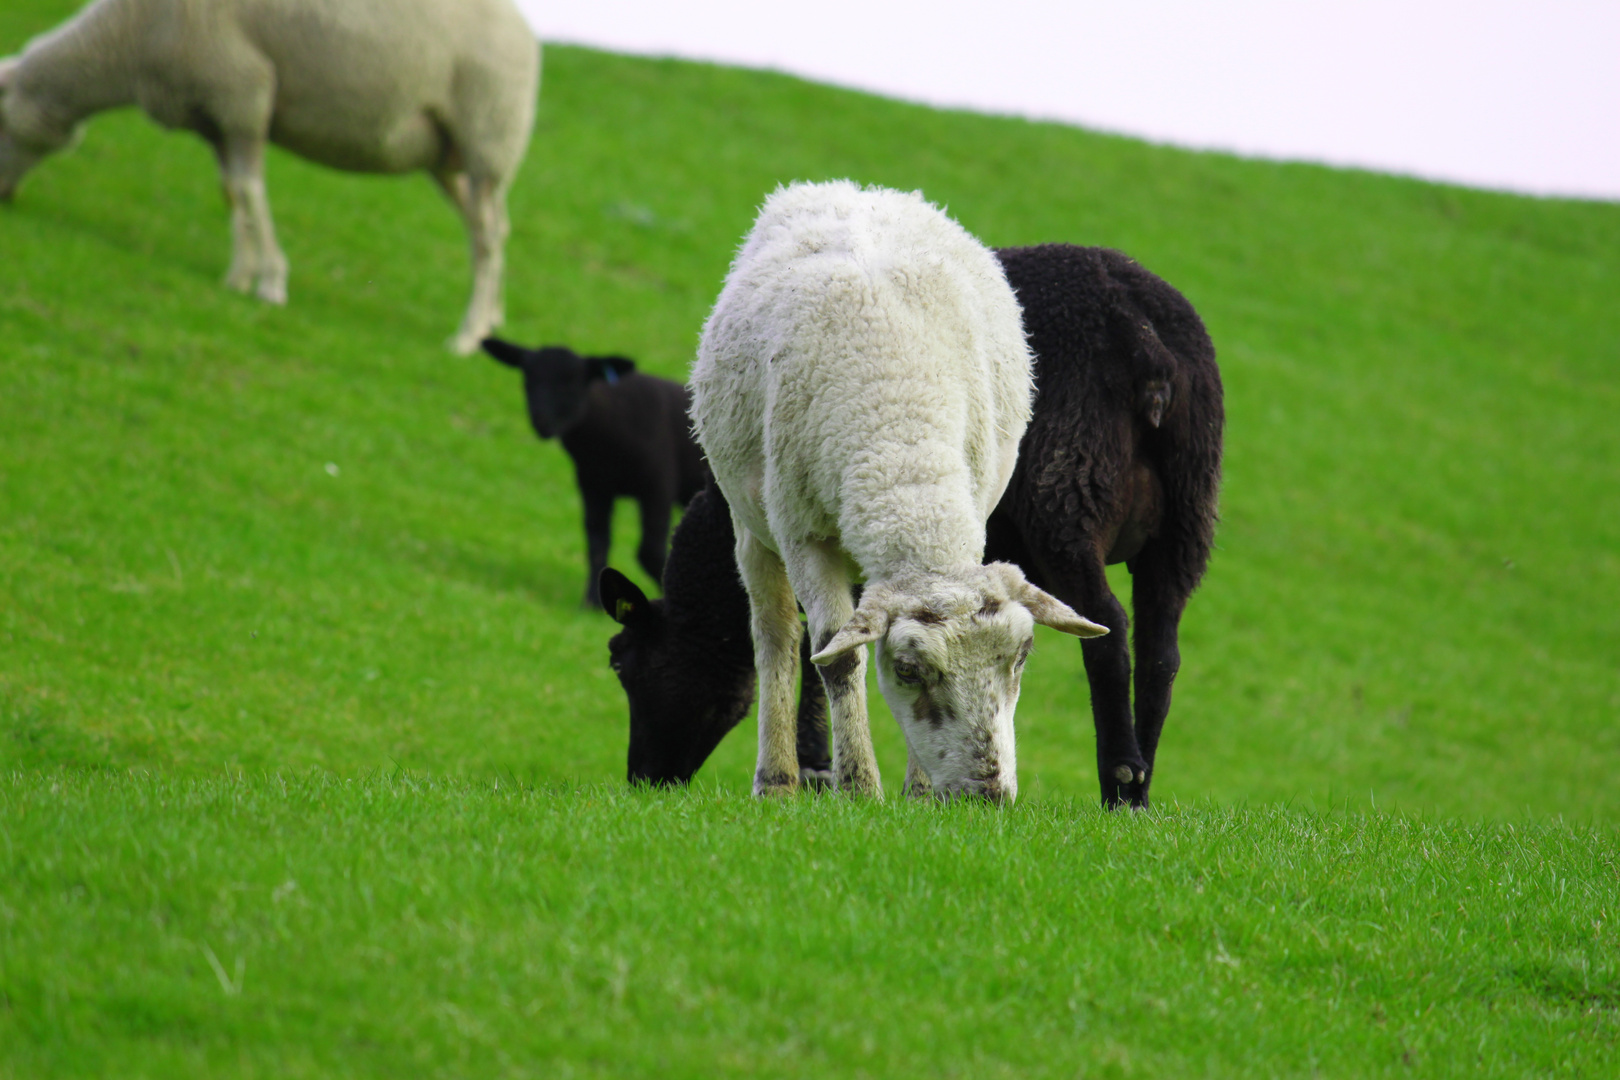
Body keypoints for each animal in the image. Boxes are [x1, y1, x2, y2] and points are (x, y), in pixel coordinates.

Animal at [0, 0, 544, 354]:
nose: (3, 197)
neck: (125, 41)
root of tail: (529, 32)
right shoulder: (213, 113)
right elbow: (232, 193)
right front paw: (239, 274)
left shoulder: (243, 91)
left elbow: (249, 189)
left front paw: (270, 282)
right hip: (448, 156)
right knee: (487, 230)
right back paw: (490, 321)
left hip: (488, 135)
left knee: (489, 237)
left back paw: (466, 336)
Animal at [479, 338, 709, 608]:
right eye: (527, 382)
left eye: (572, 384)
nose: (542, 422)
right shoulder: (594, 486)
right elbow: (597, 543)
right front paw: (591, 602)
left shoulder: (658, 485)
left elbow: (650, 551)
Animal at [602, 242, 1218, 803]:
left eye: (624, 664)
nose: (645, 780)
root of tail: (1143, 334)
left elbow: (809, 646)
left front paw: (820, 769)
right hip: (1187, 516)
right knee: (1161, 649)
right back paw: (1139, 793)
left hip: (1068, 490)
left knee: (1108, 626)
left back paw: (1119, 778)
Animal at [690, 179, 1108, 803]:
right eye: (909, 671)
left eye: (1021, 657)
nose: (986, 796)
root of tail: (851, 187)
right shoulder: (802, 534)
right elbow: (836, 656)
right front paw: (860, 786)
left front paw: (919, 795)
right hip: (751, 522)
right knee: (776, 636)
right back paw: (778, 779)